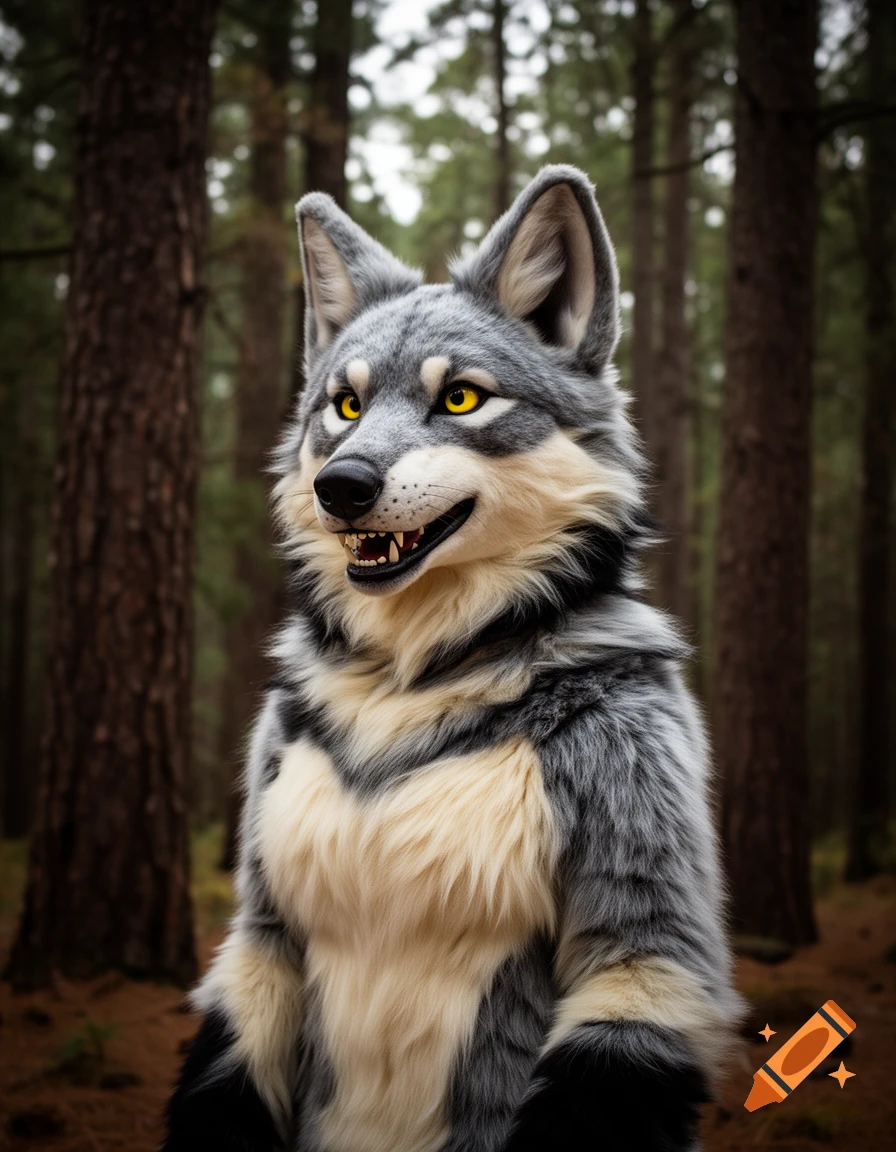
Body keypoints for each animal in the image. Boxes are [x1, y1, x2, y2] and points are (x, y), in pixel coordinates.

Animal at [163, 165, 742, 1152]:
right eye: (346, 405)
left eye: (462, 398)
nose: (341, 486)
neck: (411, 685)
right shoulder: (262, 932)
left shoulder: (643, 959)